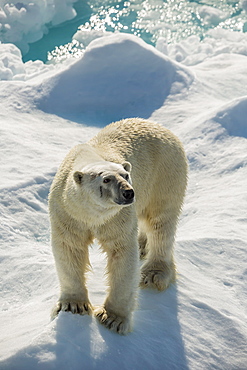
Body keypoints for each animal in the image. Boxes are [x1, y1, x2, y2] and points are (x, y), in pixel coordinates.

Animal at [49, 118, 187, 336]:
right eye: (106, 179)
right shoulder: (68, 213)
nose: (128, 192)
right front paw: (73, 306)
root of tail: (160, 127)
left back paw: (154, 273)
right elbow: (69, 248)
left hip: (166, 173)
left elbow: (122, 254)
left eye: (126, 175)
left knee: (161, 222)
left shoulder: (116, 218)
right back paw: (143, 246)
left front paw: (112, 318)